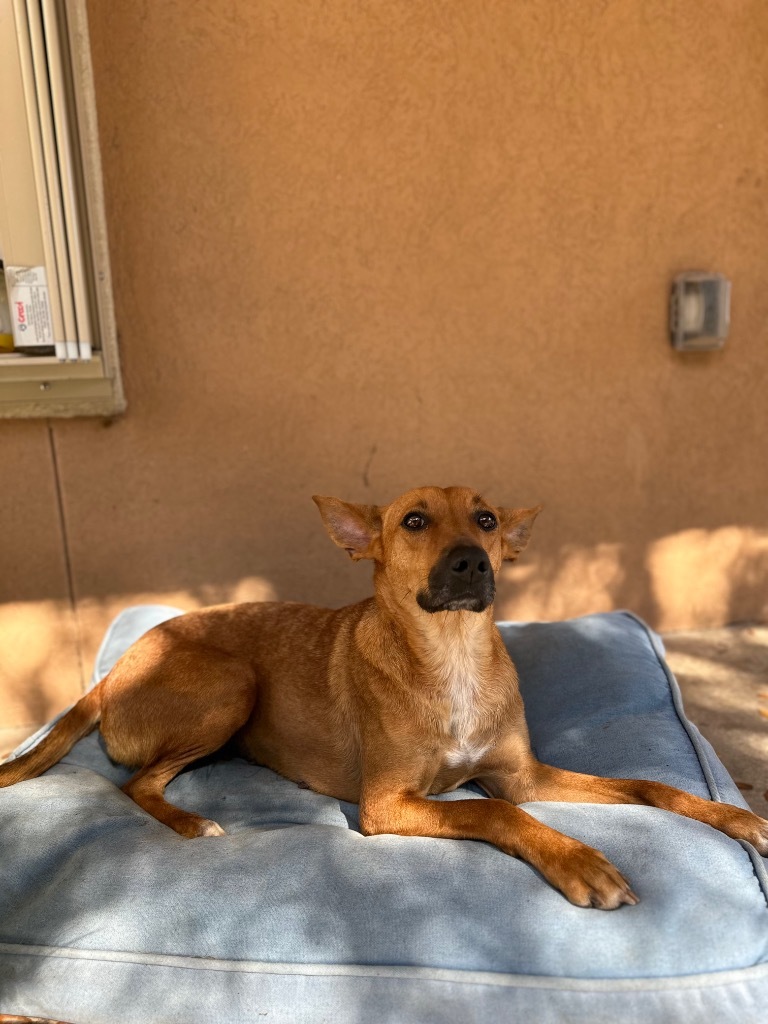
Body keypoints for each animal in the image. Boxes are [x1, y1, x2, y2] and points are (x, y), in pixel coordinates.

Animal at [1, 483, 768, 909]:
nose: (472, 563)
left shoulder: (522, 775)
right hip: (232, 684)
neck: (453, 656)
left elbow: (648, 784)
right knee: (135, 786)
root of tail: (110, 672)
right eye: (414, 521)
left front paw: (734, 817)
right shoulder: (389, 804)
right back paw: (193, 823)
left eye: (487, 520)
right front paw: (579, 860)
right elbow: (494, 814)